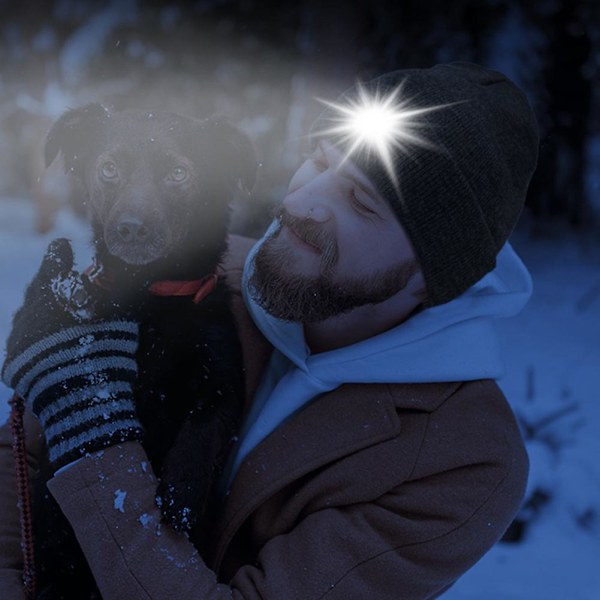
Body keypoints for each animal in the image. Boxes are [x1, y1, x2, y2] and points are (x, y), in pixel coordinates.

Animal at [32, 103, 256, 596]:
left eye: (179, 173)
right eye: (109, 168)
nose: (132, 229)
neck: (151, 299)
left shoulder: (224, 374)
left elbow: (207, 421)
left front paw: (182, 492)